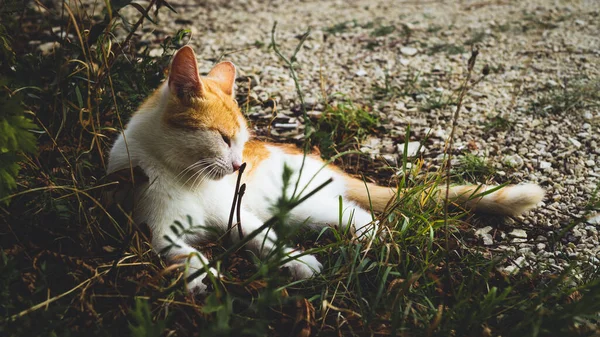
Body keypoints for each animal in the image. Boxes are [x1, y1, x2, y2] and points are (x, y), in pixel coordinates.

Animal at [105, 46, 548, 292]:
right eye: (223, 137)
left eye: (241, 139)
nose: (238, 165)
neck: (185, 177)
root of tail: (316, 159)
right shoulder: (156, 228)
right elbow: (183, 252)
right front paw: (202, 277)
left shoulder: (236, 212)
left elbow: (257, 235)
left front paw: (294, 261)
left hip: (301, 204)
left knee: (360, 213)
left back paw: (375, 239)